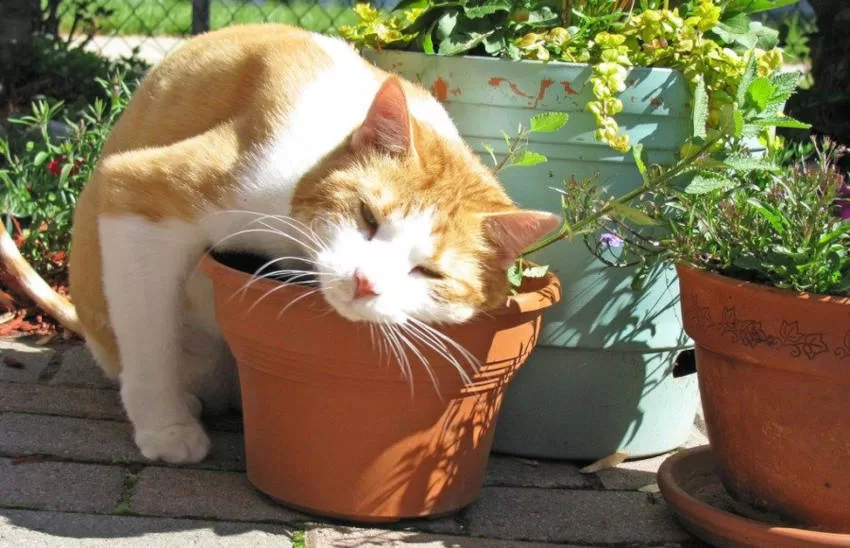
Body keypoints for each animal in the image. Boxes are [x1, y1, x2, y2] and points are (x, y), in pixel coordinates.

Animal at [3, 23, 560, 464]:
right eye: (367, 217)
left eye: (430, 273)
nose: (365, 282)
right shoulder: (135, 193)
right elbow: (148, 338)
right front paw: (166, 427)